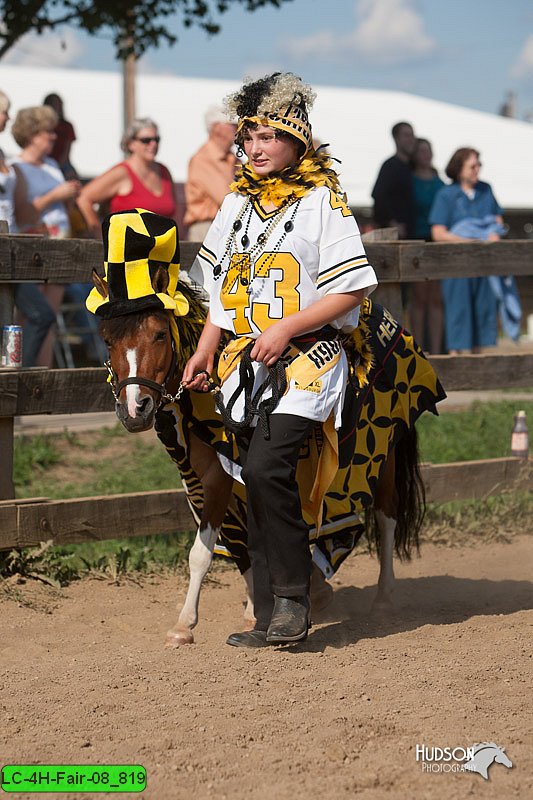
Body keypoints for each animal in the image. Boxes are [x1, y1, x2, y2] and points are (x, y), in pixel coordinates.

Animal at [92, 266, 444, 648]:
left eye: (158, 334)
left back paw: (382, 599)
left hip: (385, 449)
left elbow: (202, 552)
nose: (134, 409)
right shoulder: (210, 478)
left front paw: (184, 625)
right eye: (108, 340)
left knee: (386, 517)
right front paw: (254, 610)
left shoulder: (218, 479)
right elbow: (246, 543)